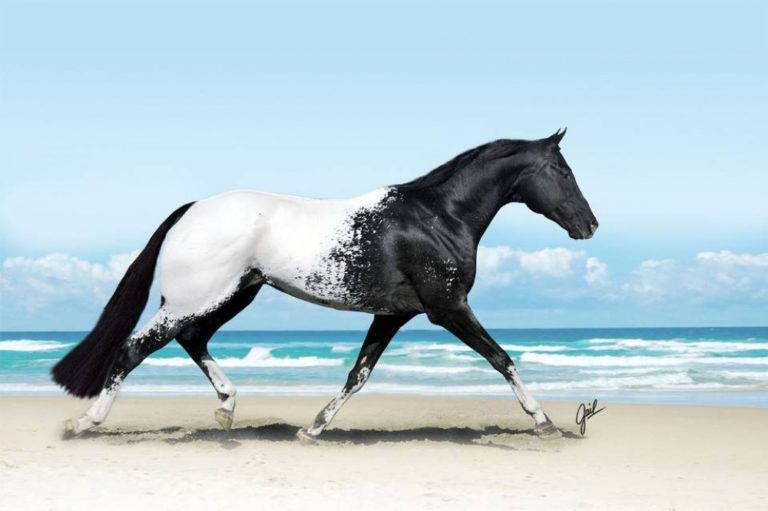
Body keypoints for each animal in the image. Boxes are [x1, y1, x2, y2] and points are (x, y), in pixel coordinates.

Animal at [53, 129, 598, 440]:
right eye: (564, 171)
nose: (589, 225)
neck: (437, 218)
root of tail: (191, 210)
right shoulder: (447, 307)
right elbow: (502, 357)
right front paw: (544, 422)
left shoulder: (394, 313)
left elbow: (358, 374)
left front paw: (313, 428)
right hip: (197, 298)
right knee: (134, 349)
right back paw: (85, 423)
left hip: (234, 294)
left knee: (191, 340)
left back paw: (227, 408)